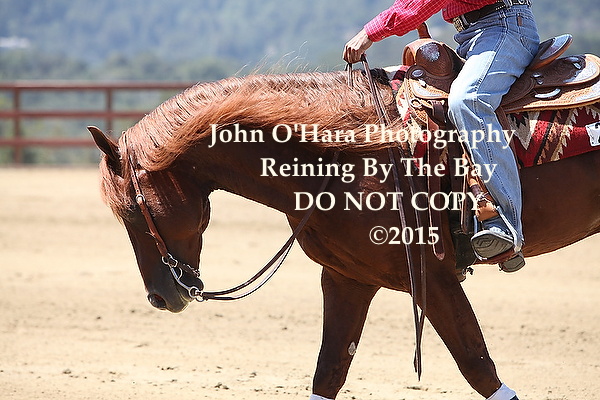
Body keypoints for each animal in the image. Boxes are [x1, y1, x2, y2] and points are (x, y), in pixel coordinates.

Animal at [89, 63, 600, 399]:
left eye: (132, 213)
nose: (160, 296)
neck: (344, 155)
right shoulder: (347, 279)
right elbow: (329, 371)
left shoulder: (433, 280)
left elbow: (477, 365)